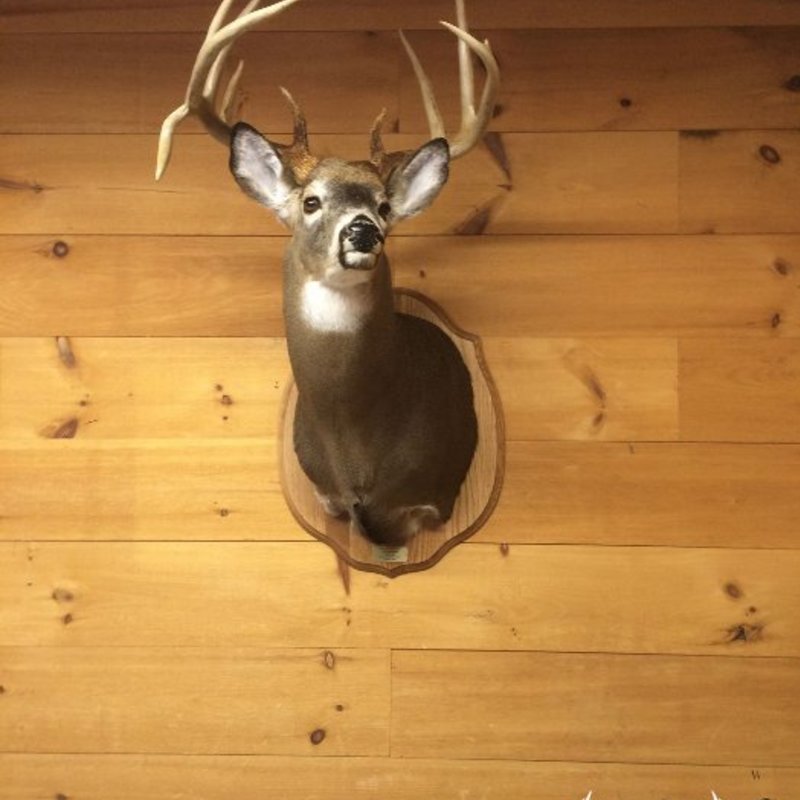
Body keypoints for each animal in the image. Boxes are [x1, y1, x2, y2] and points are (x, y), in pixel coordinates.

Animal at [155, 0, 500, 548]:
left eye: (384, 206)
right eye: (311, 201)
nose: (362, 230)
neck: (356, 447)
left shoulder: (433, 495)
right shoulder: (326, 491)